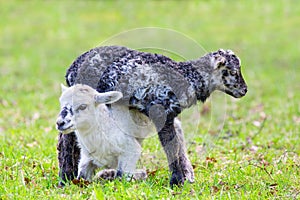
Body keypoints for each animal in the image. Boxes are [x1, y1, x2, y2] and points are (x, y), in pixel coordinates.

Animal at [57, 45, 247, 186]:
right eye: (233, 72)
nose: (244, 90)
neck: (188, 78)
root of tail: (71, 69)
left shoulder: (170, 115)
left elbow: (178, 142)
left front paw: (186, 177)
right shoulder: (161, 112)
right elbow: (172, 147)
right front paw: (177, 181)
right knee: (66, 140)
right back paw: (66, 177)